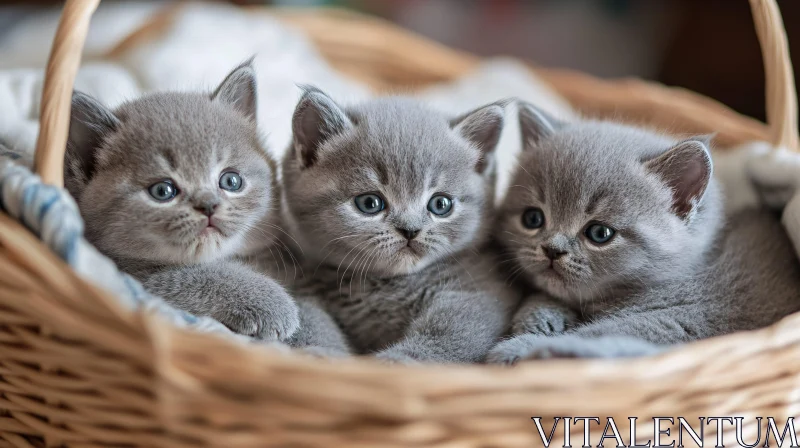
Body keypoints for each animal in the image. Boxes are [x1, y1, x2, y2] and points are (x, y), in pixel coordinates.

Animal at [66, 59, 300, 340]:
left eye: (231, 181)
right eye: (162, 191)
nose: (208, 205)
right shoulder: (127, 275)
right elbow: (194, 276)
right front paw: (270, 302)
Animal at [282, 87, 520, 364]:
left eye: (440, 204)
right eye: (370, 203)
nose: (410, 230)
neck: (385, 286)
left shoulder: (482, 290)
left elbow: (451, 335)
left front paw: (393, 361)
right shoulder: (303, 283)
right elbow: (307, 319)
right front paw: (321, 354)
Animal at [484, 100, 800, 362]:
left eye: (600, 233)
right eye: (533, 218)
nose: (552, 249)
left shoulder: (689, 317)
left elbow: (604, 333)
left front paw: (519, 348)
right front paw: (537, 318)